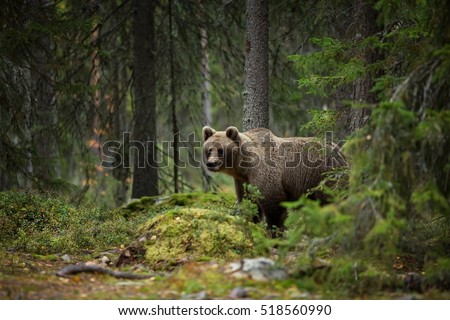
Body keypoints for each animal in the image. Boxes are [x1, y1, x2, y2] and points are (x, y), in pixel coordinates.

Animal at [202, 125, 346, 232]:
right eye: (209, 149)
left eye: (220, 150)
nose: (211, 163)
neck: (244, 166)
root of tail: (340, 150)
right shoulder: (243, 181)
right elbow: (249, 201)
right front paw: (251, 221)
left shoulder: (265, 173)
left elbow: (273, 202)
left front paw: (274, 231)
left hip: (325, 174)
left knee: (332, 197)